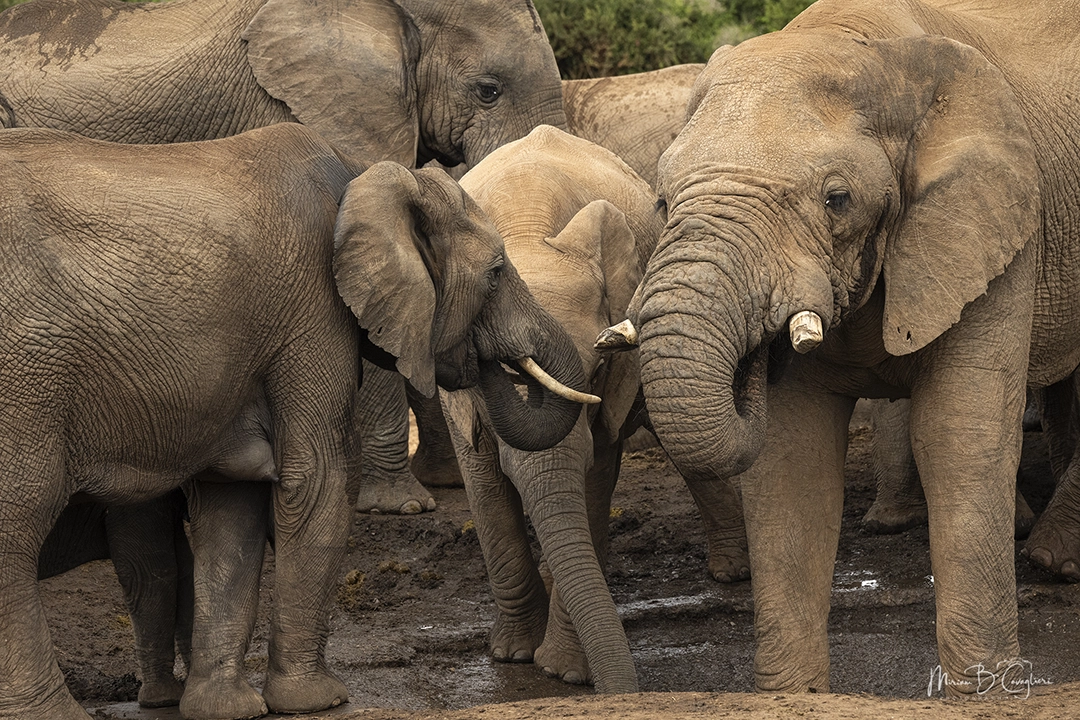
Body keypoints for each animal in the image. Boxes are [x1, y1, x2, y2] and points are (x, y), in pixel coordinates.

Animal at [0, 0, 565, 702]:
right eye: (494, 272)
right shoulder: (309, 304)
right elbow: (316, 475)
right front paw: (322, 699)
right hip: (26, 378)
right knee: (19, 524)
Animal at [439, 125, 663, 693]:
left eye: (596, 370)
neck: (524, 226)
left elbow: (594, 476)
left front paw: (564, 671)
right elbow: (484, 481)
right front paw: (514, 655)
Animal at [599, 0, 1080, 696]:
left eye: (837, 199)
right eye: (662, 201)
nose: (757, 357)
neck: (859, 44)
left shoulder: (995, 223)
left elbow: (959, 435)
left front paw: (984, 691)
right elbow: (790, 456)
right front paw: (792, 696)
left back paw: (1051, 560)